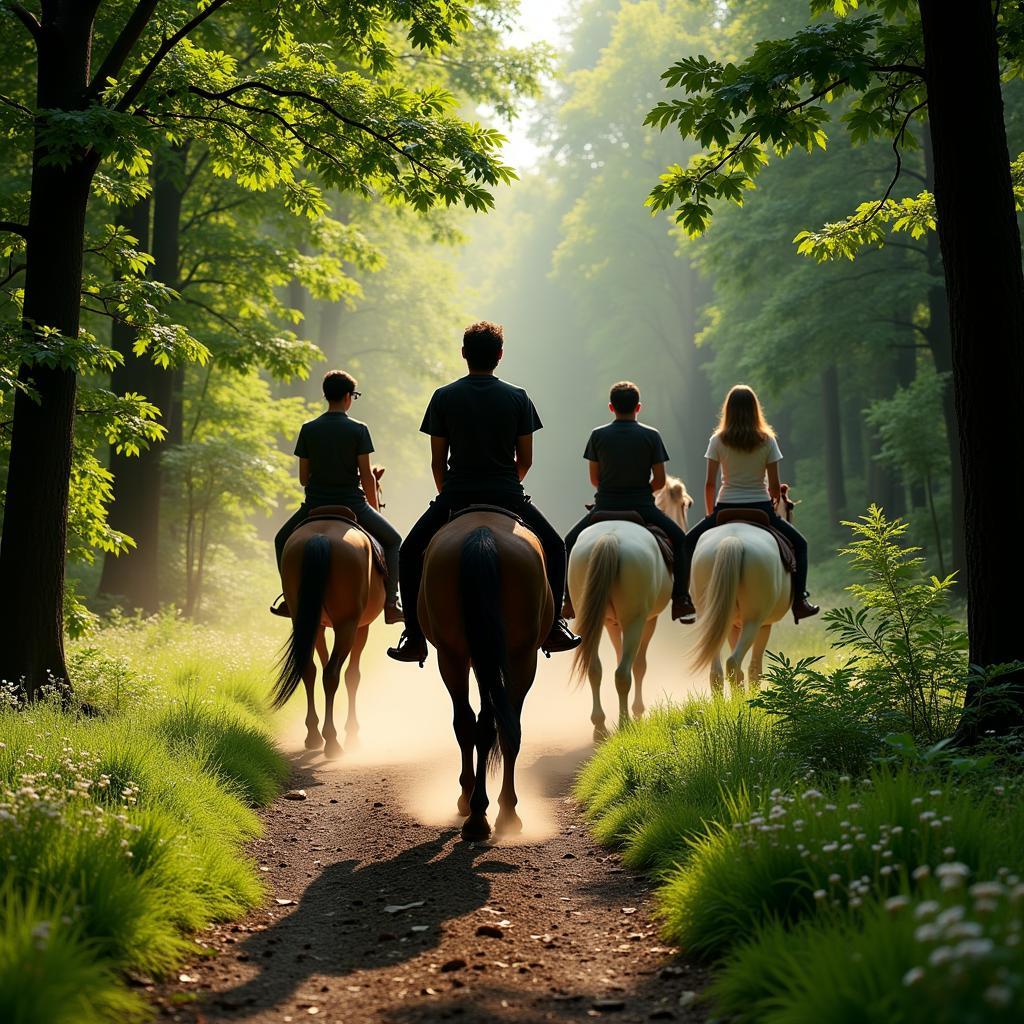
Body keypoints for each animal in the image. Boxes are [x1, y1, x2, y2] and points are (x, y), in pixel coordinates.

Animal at [270, 468, 385, 757]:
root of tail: (320, 537)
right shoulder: (362, 627)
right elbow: (352, 676)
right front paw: (352, 733)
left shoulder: (318, 624)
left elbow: (317, 668)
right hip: (347, 625)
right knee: (333, 674)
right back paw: (333, 741)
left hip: (304, 619)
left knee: (309, 670)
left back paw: (313, 735)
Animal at [419, 509, 557, 839]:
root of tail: (483, 535)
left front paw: (467, 798)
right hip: (517, 656)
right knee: (502, 727)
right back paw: (501, 813)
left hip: (455, 656)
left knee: (474, 723)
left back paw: (479, 813)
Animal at [569, 475, 688, 741]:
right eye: (686, 504)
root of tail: (610, 538)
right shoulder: (649, 620)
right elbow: (639, 665)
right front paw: (638, 711)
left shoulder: (611, 623)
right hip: (635, 621)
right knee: (623, 673)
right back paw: (625, 725)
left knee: (596, 669)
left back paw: (600, 727)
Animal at [692, 495, 794, 696]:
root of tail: (733, 539)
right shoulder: (764, 625)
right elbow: (755, 667)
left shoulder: (732, 624)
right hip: (753, 621)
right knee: (734, 662)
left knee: (717, 669)